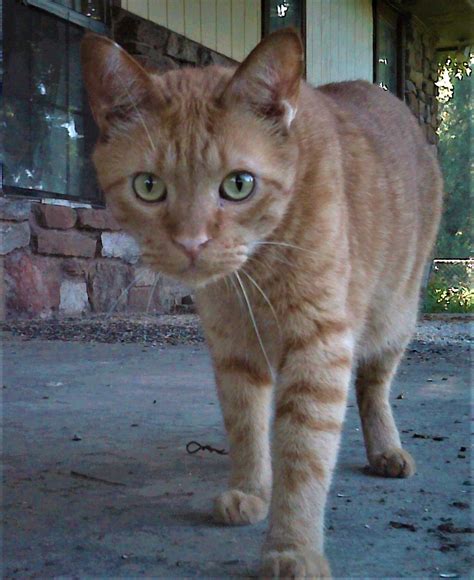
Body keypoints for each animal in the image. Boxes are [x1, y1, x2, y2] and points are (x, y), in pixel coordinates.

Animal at [82, 29, 444, 576]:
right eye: (148, 186)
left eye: (239, 184)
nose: (192, 242)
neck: (254, 274)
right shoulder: (233, 347)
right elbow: (246, 423)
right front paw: (252, 490)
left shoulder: (320, 345)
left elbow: (304, 453)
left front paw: (293, 547)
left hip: (394, 315)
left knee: (374, 386)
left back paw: (386, 448)